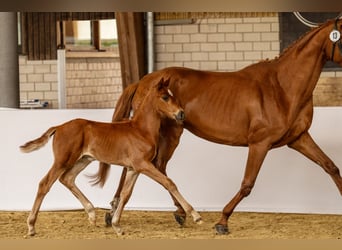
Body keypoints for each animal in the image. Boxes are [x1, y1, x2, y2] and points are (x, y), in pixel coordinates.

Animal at [20, 78, 203, 236]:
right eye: (165, 97)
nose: (181, 114)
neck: (141, 130)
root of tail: (58, 127)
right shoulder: (143, 164)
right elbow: (169, 183)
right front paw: (196, 216)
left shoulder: (133, 168)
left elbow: (125, 194)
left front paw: (117, 225)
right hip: (62, 160)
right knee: (45, 184)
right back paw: (31, 227)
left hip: (84, 159)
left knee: (67, 178)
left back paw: (92, 214)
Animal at [94, 16, 342, 234]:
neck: (282, 87)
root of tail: (142, 81)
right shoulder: (260, 143)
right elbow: (247, 184)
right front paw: (222, 221)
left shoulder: (299, 138)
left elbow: (330, 166)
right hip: (169, 132)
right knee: (155, 166)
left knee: (150, 166)